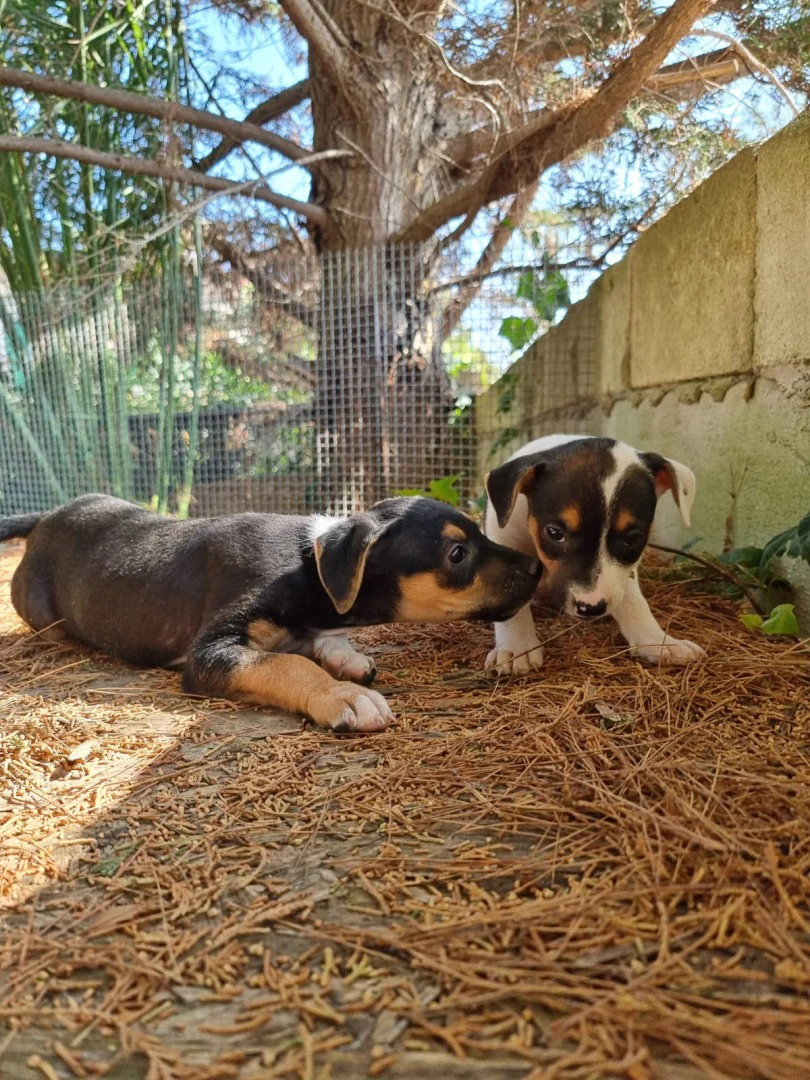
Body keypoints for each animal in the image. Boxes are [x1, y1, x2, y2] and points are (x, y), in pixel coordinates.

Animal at [486, 432, 708, 669]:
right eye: (554, 532)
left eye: (632, 538)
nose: (590, 607)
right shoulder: (504, 540)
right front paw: (517, 648)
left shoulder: (625, 572)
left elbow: (633, 600)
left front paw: (657, 641)